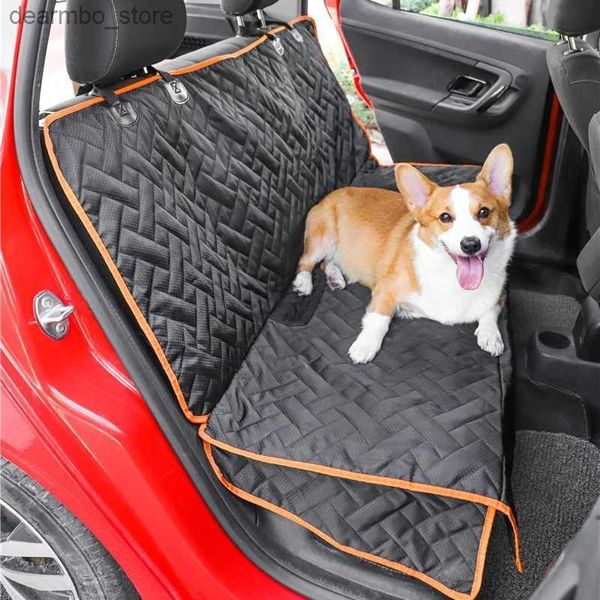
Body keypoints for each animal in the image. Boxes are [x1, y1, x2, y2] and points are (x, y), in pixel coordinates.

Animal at [292, 143, 516, 364]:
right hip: (322, 240)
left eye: (484, 212)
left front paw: (491, 336)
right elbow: (378, 320)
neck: (451, 277)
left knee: (326, 263)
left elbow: (489, 311)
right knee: (306, 261)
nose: (470, 245)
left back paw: (335, 278)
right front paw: (365, 346)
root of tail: (331, 194)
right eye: (445, 217)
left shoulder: (499, 296)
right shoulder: (385, 291)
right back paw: (304, 282)